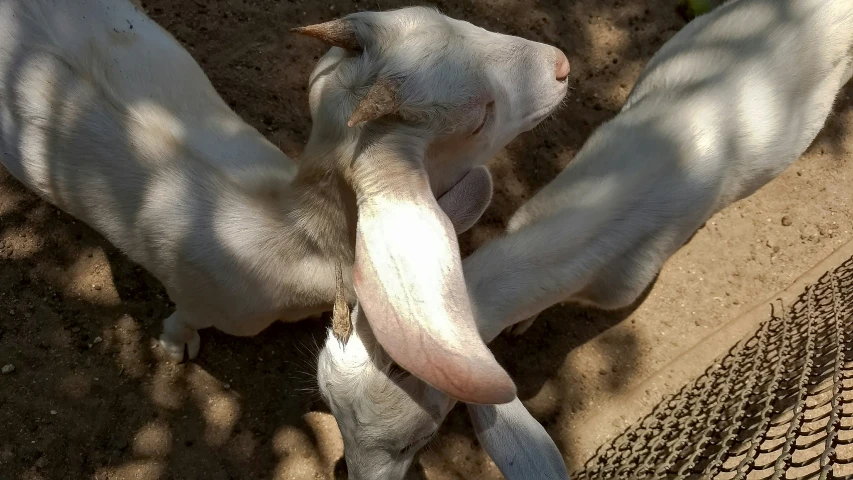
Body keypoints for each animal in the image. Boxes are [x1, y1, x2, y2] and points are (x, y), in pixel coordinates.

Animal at [1, 0, 572, 404]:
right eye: (479, 118)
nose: (564, 64)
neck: (293, 233)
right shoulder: (202, 299)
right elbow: (184, 319)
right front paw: (174, 345)